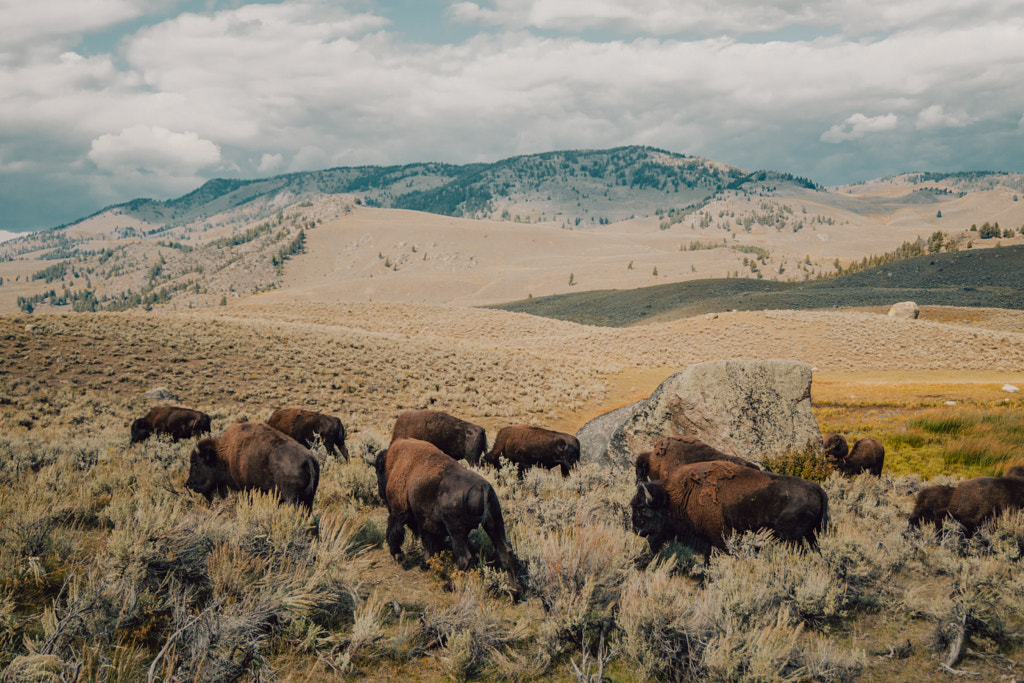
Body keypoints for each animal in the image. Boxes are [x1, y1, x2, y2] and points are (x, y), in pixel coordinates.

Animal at [186, 421, 317, 511]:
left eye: (196, 464)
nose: (189, 483)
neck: (224, 455)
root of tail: (308, 458)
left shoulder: (246, 489)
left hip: (292, 499)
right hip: (309, 499)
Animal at [374, 438, 520, 593]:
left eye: (378, 471)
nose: (380, 492)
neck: (394, 463)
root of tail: (484, 487)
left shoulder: (398, 511)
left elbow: (394, 532)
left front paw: (398, 555)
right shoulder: (426, 524)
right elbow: (429, 544)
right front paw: (424, 565)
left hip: (456, 531)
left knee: (465, 558)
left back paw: (448, 585)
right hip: (494, 523)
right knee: (505, 552)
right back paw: (513, 592)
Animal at [626, 458, 827, 557]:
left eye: (643, 509)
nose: (636, 529)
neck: (678, 497)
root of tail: (817, 488)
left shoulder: (718, 540)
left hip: (793, 539)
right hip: (812, 535)